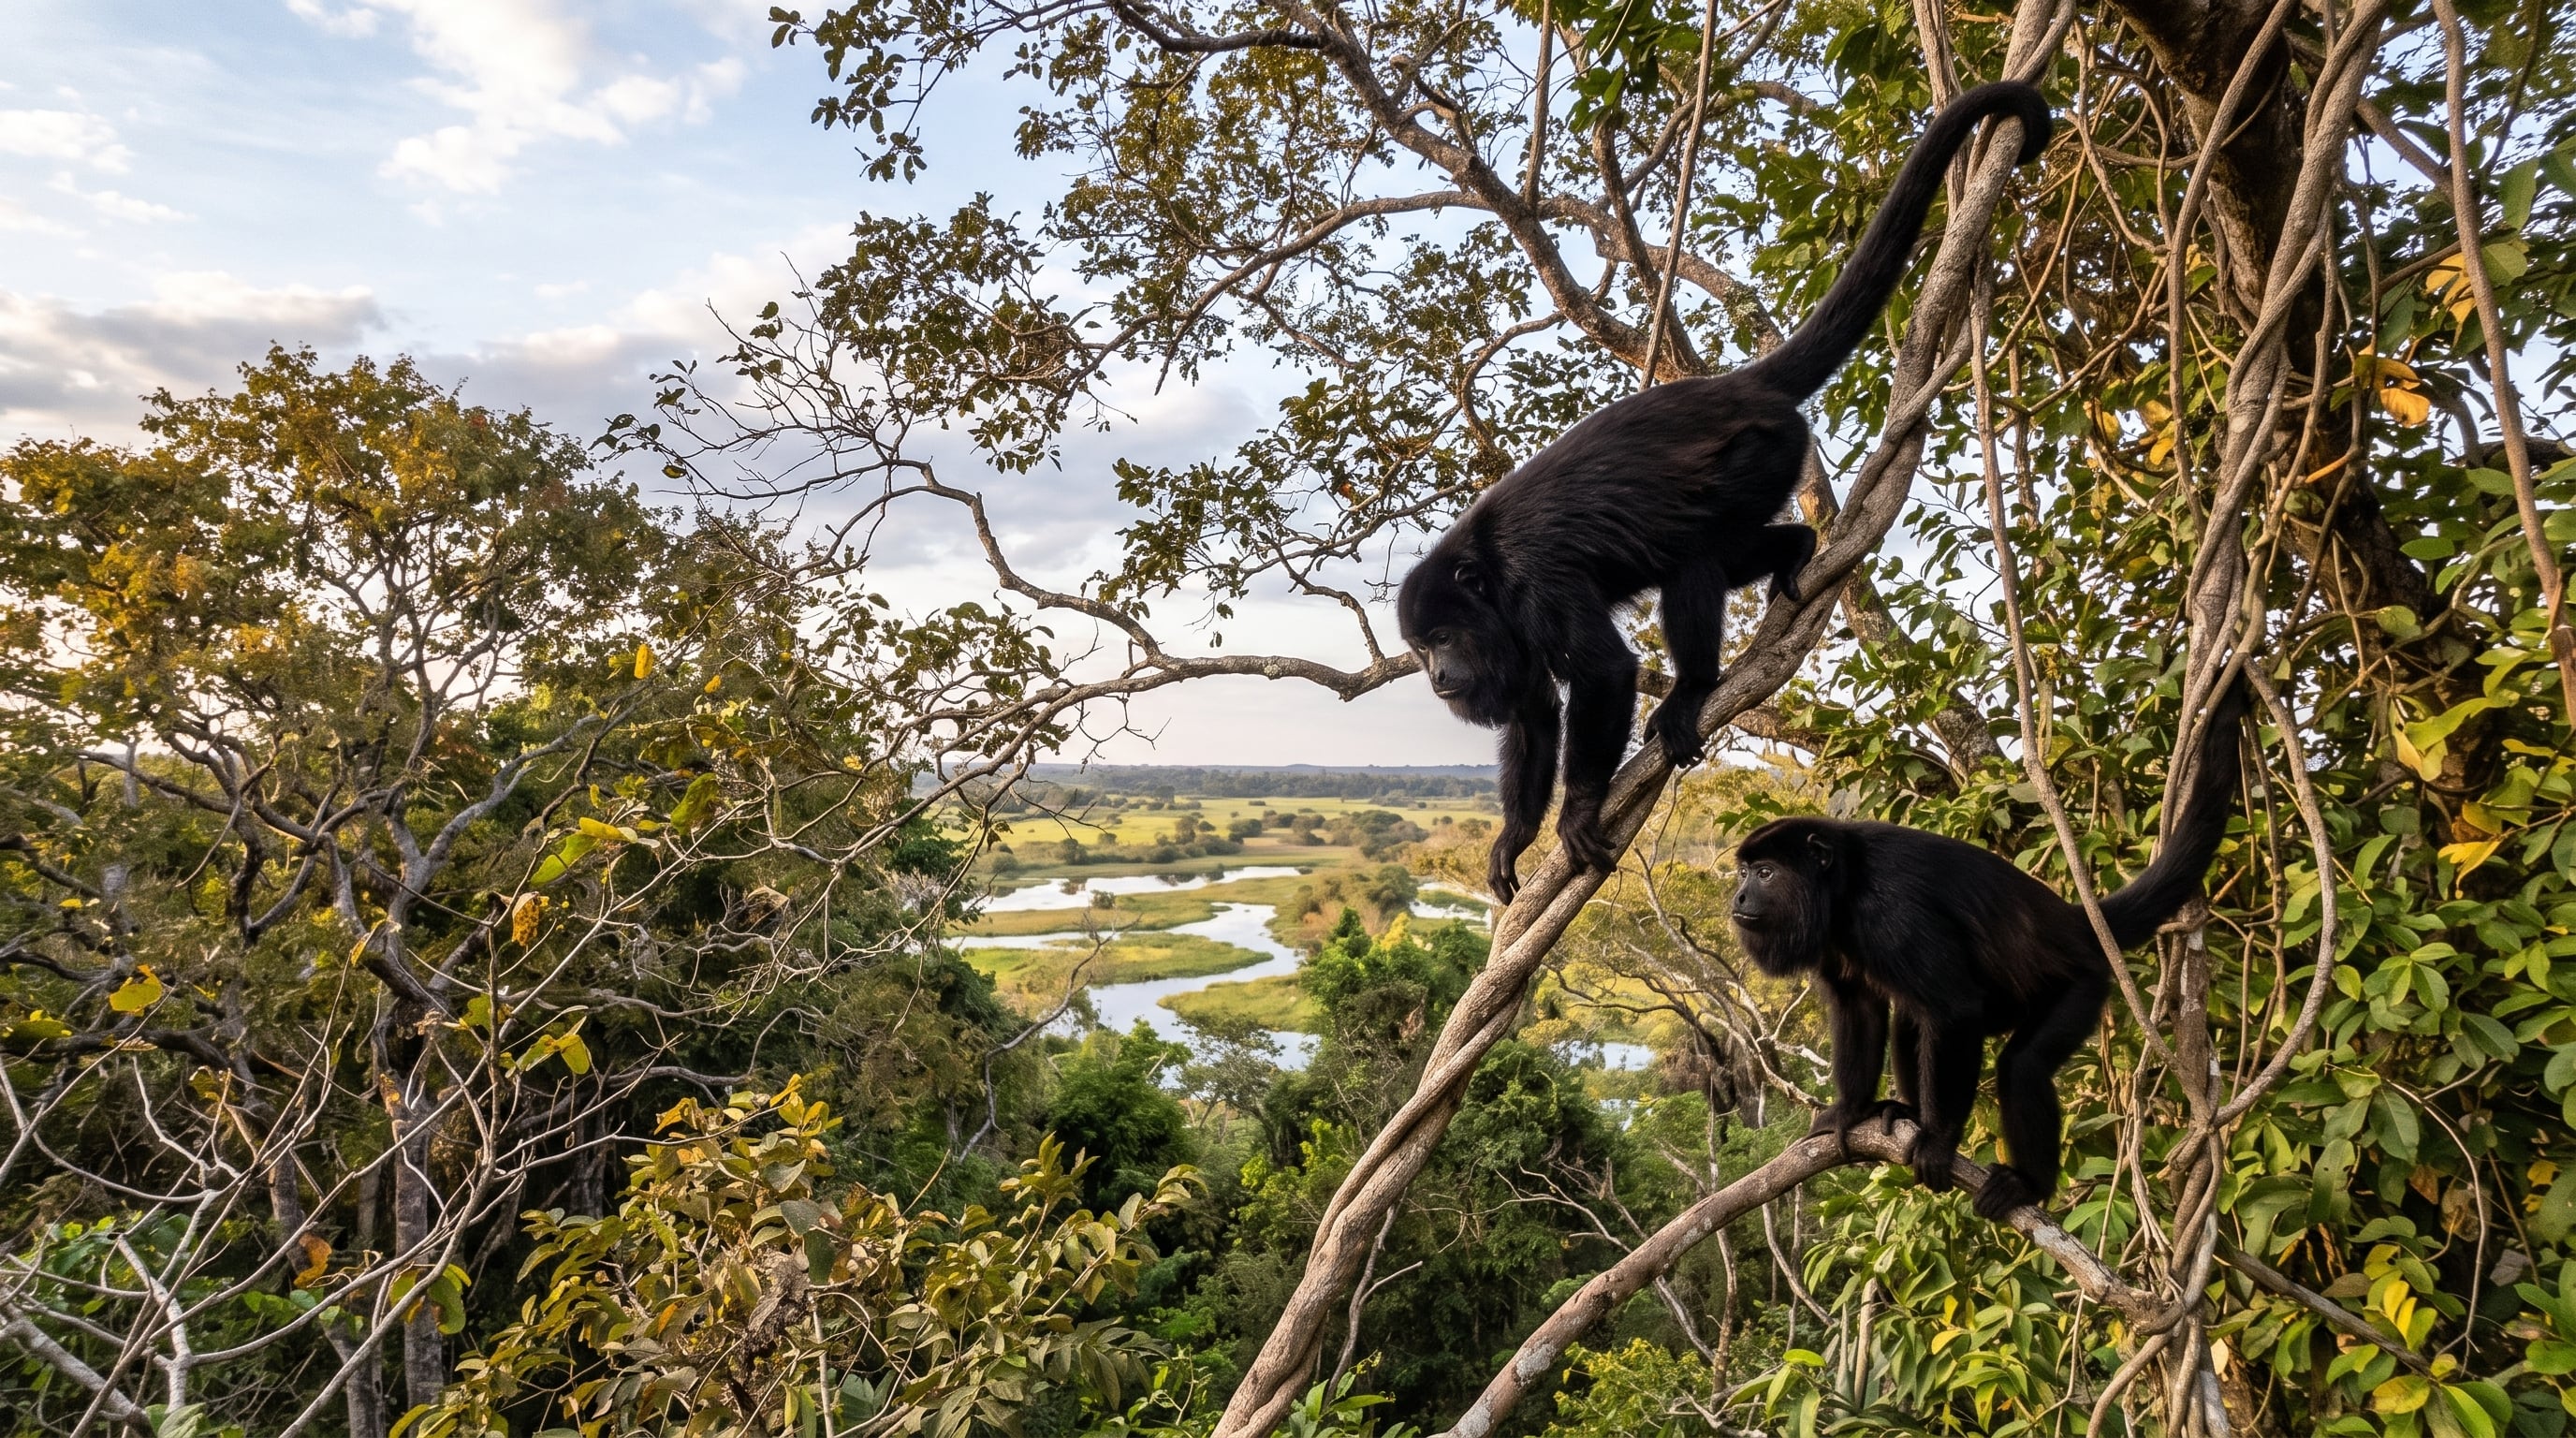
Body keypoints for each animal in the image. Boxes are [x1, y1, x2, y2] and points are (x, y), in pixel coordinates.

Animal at [1397, 82, 2052, 903]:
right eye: (1420, 648)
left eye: (1443, 639)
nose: (1437, 678)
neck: (1486, 569)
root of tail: (1739, 386)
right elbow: (1537, 712)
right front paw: (1514, 839)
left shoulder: (1534, 578)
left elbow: (1604, 674)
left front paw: (1577, 811)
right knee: (1724, 551)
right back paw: (1796, 549)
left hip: (1762, 454)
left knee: (1694, 558)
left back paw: (1694, 688)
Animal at [1727, 679, 2253, 1220]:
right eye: (1743, 872)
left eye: (1765, 873)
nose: (1738, 896)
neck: (1842, 887)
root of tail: (2073, 921)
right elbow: (1860, 1009)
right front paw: (1848, 1112)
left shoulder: (1890, 911)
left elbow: (1955, 1009)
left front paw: (1938, 1144)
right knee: (1911, 1019)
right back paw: (1908, 1111)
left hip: (2083, 983)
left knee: (2021, 1065)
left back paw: (2027, 1184)